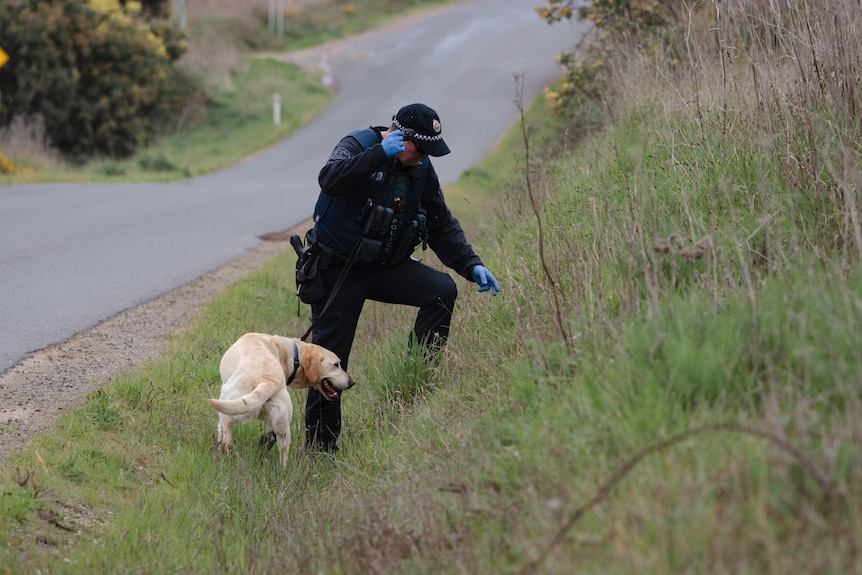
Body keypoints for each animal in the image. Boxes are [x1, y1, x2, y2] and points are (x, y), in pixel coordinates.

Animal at [207, 332, 354, 472]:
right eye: (336, 365)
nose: (352, 382)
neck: (292, 355)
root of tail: (269, 381)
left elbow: (220, 428)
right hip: (284, 430)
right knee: (282, 457)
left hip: (227, 397)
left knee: (226, 434)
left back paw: (221, 451)